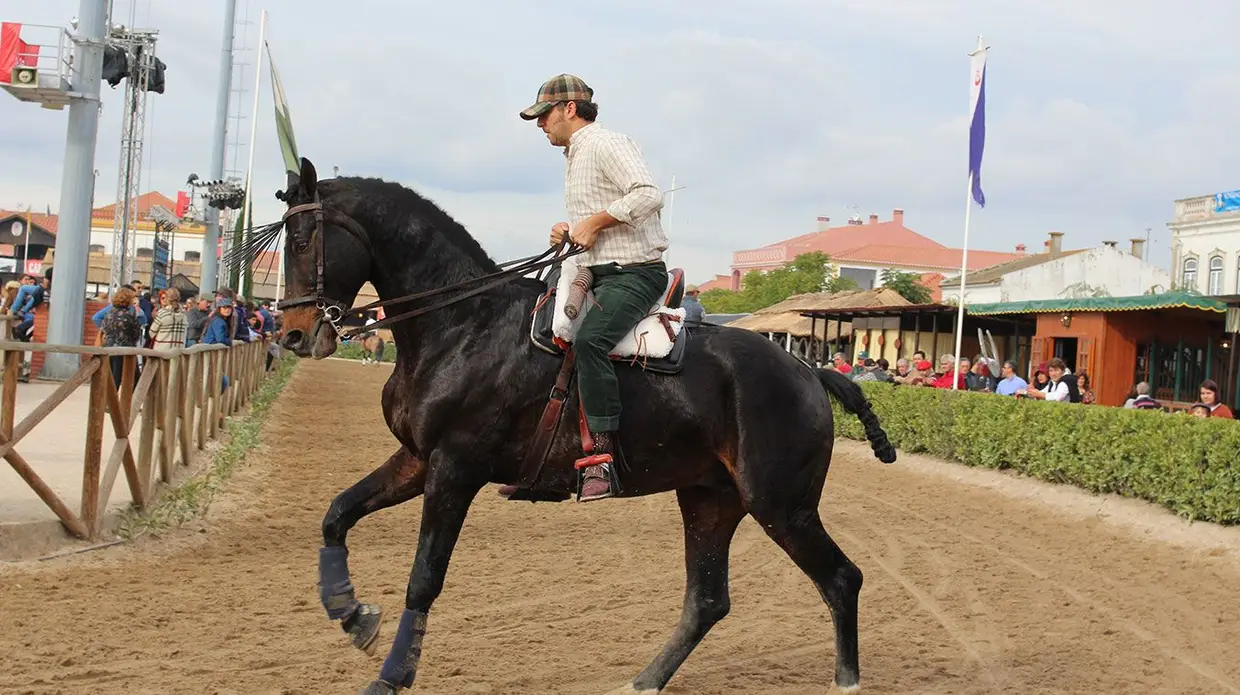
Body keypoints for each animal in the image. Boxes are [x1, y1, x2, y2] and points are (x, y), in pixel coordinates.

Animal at [272, 157, 896, 695]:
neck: (465, 324)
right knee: (708, 600)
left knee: (841, 580)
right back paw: (644, 681)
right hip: (710, 500)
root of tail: (808, 371)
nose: (294, 333)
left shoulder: (454, 469)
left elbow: (424, 578)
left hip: (781, 505)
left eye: (301, 242)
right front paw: (352, 614)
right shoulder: (417, 460)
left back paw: (845, 682)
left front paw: (390, 676)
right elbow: (337, 514)